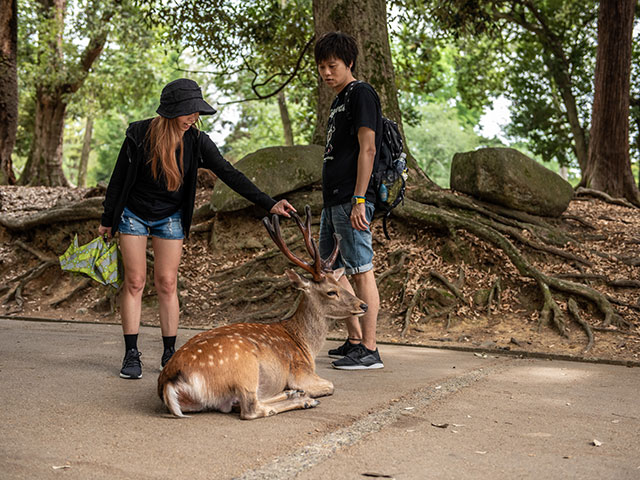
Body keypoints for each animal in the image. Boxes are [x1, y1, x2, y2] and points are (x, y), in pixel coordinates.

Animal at [157, 207, 368, 420]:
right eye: (331, 292)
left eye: (340, 284)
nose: (363, 305)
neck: (305, 345)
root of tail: (169, 382)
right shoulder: (300, 371)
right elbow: (330, 385)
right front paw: (305, 393)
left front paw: (294, 391)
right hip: (244, 365)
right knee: (250, 408)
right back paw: (304, 400)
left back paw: (292, 393)